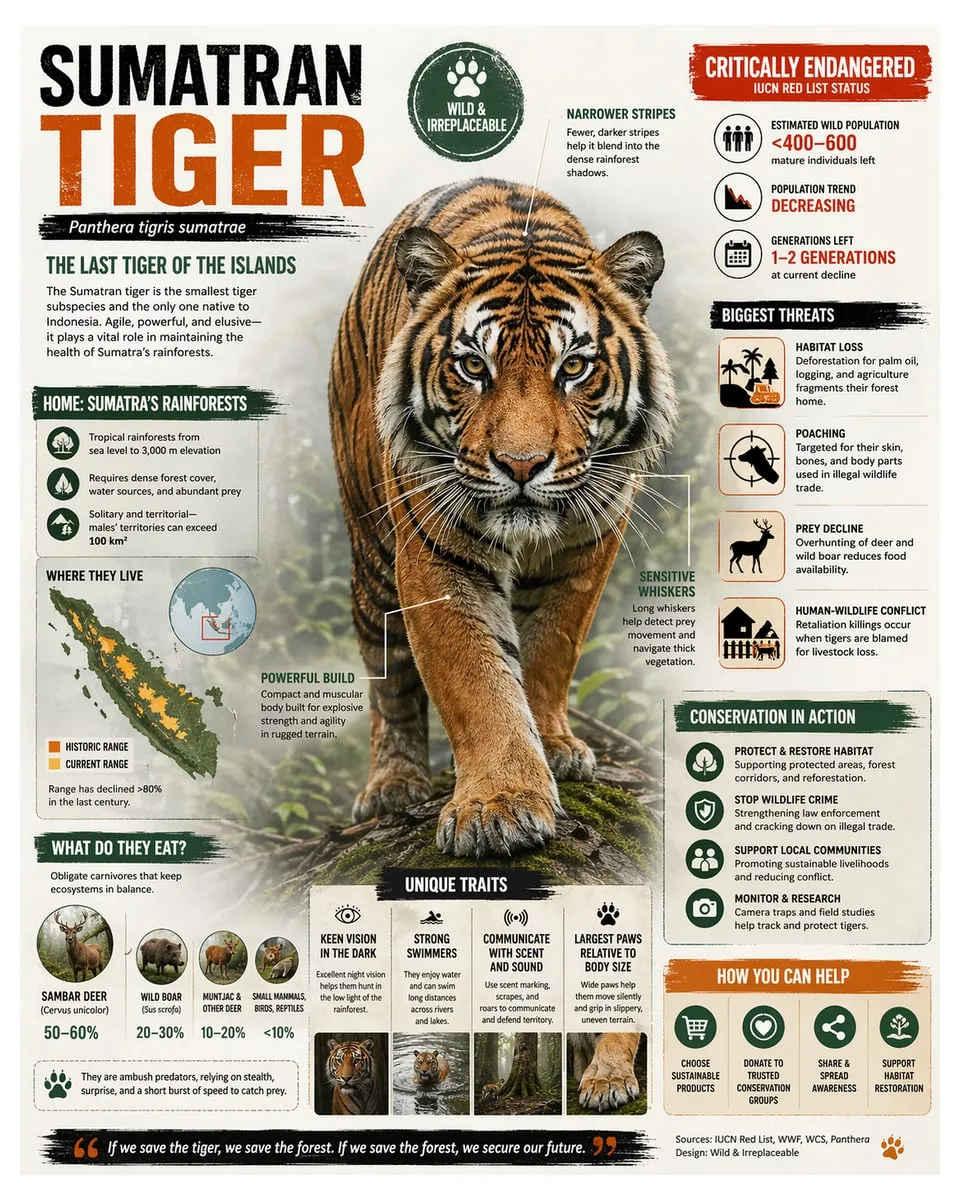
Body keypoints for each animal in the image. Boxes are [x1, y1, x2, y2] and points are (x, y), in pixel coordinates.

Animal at [329, 178, 676, 858]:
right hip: (373, 559)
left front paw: (555, 748)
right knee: (388, 678)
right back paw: (393, 785)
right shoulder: (434, 556)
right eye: (472, 367)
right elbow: (476, 680)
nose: (521, 465)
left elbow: (549, 651)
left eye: (574, 367)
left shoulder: (588, 545)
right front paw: (500, 806)